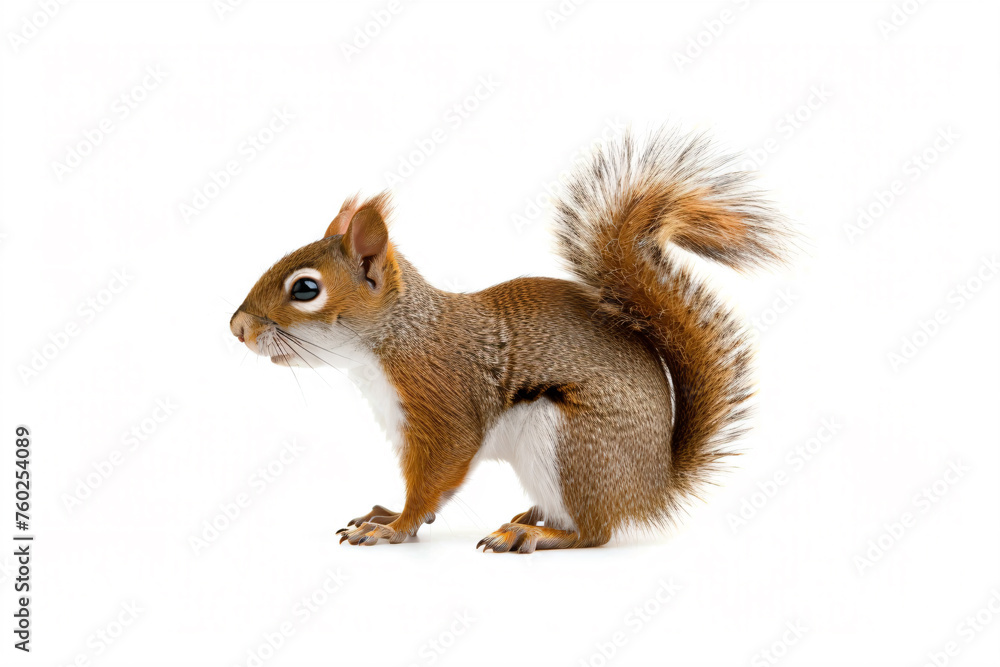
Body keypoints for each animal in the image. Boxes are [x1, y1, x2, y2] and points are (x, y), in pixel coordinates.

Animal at [230, 127, 791, 553]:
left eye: (306, 289)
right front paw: (390, 514)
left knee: (593, 533)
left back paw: (532, 535)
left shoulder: (442, 402)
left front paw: (393, 528)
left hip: (571, 446)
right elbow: (434, 492)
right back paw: (529, 516)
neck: (396, 339)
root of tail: (653, 488)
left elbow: (437, 475)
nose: (237, 328)